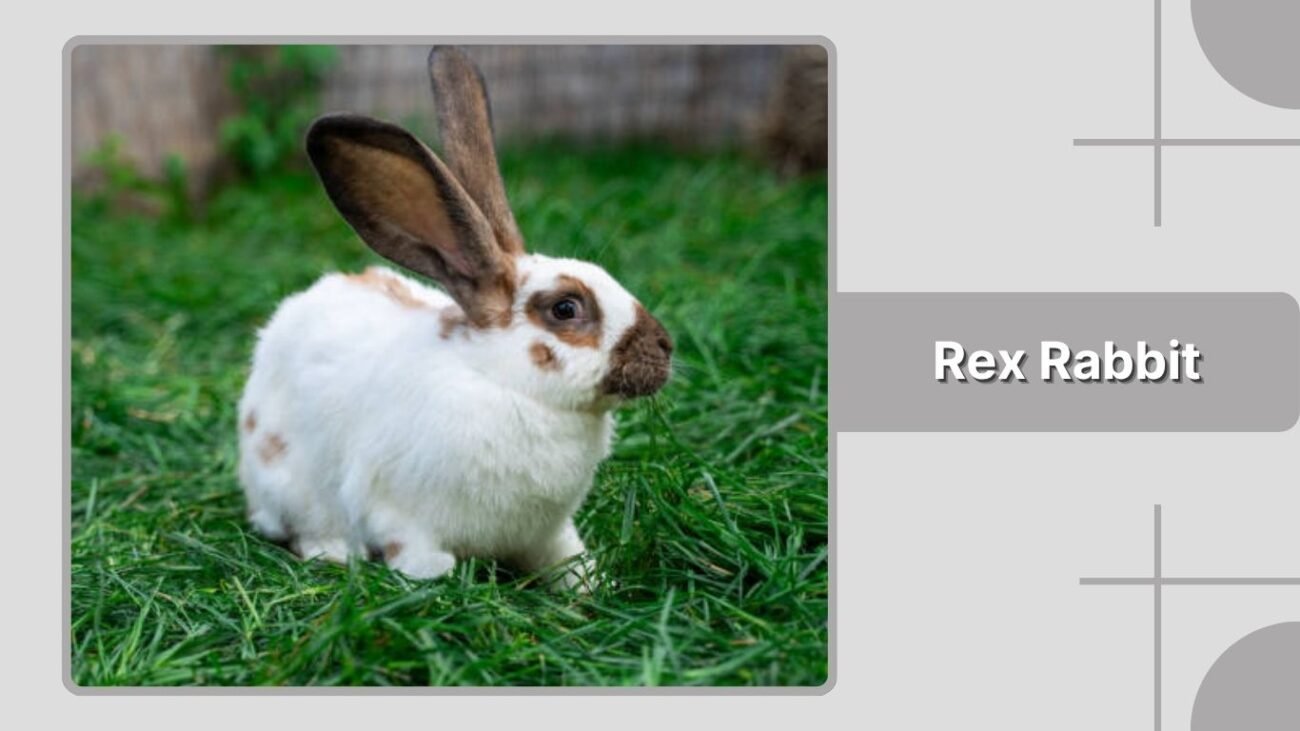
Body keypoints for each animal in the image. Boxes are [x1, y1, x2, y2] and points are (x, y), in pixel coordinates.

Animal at [235, 46, 673, 587]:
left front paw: (591, 585)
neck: (508, 386)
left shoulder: (548, 532)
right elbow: (419, 554)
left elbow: (567, 558)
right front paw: (435, 579)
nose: (665, 347)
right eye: (565, 308)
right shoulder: (397, 512)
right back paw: (333, 552)